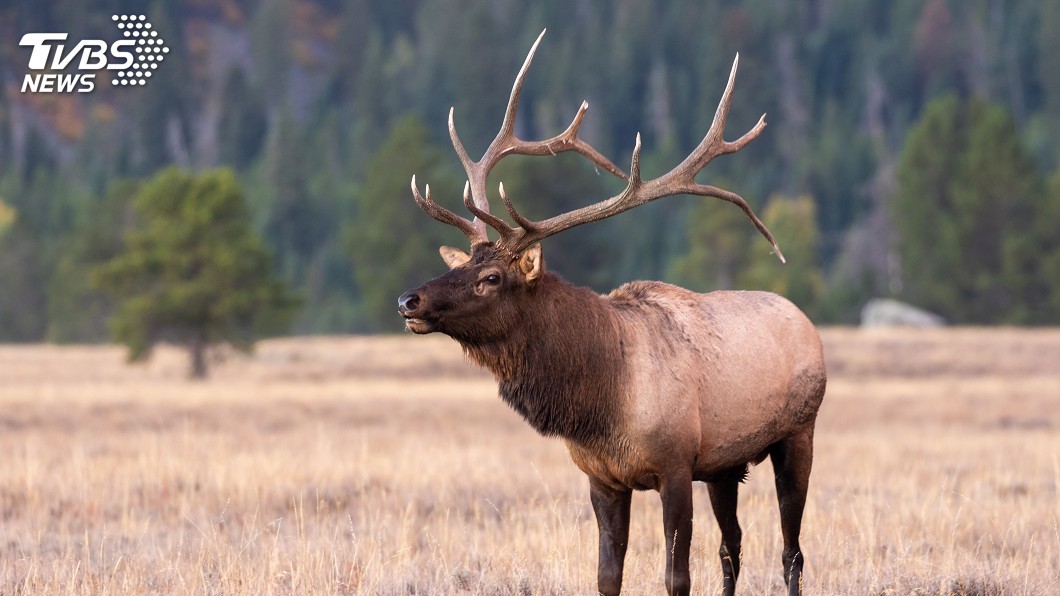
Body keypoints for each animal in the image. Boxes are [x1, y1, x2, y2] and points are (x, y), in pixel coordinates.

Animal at [397, 31, 826, 596]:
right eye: (463, 264)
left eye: (491, 278)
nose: (409, 301)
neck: (601, 402)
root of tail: (805, 321)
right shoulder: (602, 478)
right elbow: (607, 576)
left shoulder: (675, 466)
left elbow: (676, 577)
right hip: (726, 465)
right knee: (732, 548)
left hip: (798, 432)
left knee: (791, 551)